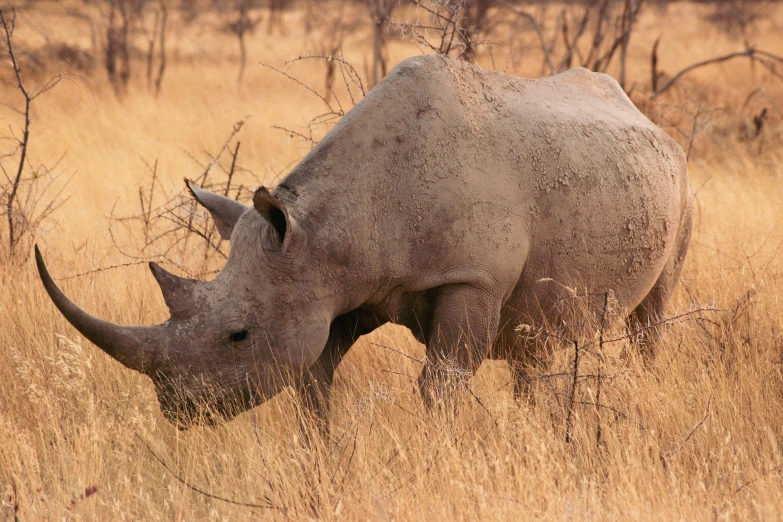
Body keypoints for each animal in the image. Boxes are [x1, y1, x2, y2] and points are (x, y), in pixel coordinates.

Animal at [38, 53, 700, 426]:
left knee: (650, 318)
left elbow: (440, 386)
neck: (327, 230)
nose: (179, 410)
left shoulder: (471, 278)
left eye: (238, 335)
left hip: (684, 183)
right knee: (535, 341)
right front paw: (321, 462)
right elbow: (313, 382)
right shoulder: (335, 284)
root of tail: (647, 119)